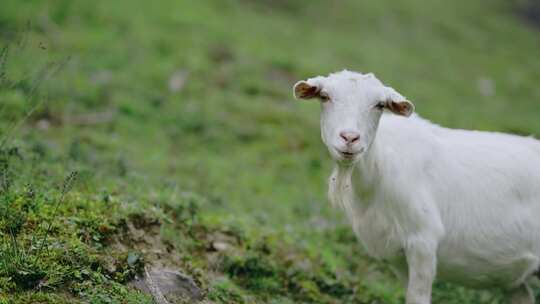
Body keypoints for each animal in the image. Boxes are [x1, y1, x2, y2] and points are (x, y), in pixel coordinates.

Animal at [294, 70, 540, 304]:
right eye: (324, 97)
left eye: (380, 105)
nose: (350, 138)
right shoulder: (396, 256)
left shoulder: (424, 241)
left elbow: (417, 297)